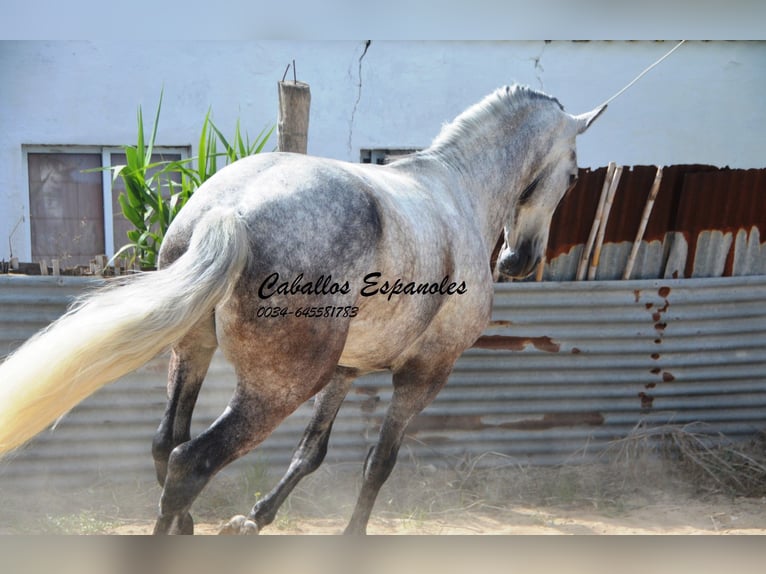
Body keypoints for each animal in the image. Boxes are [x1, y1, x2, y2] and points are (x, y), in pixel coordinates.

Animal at [0, 83, 608, 532]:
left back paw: (190, 526)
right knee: (190, 462)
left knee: (164, 444)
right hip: (278, 388)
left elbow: (311, 453)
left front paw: (255, 519)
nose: (519, 260)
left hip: (192, 354)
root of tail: (231, 210)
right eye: (572, 174)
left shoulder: (346, 370)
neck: (457, 191)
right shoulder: (423, 375)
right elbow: (378, 464)